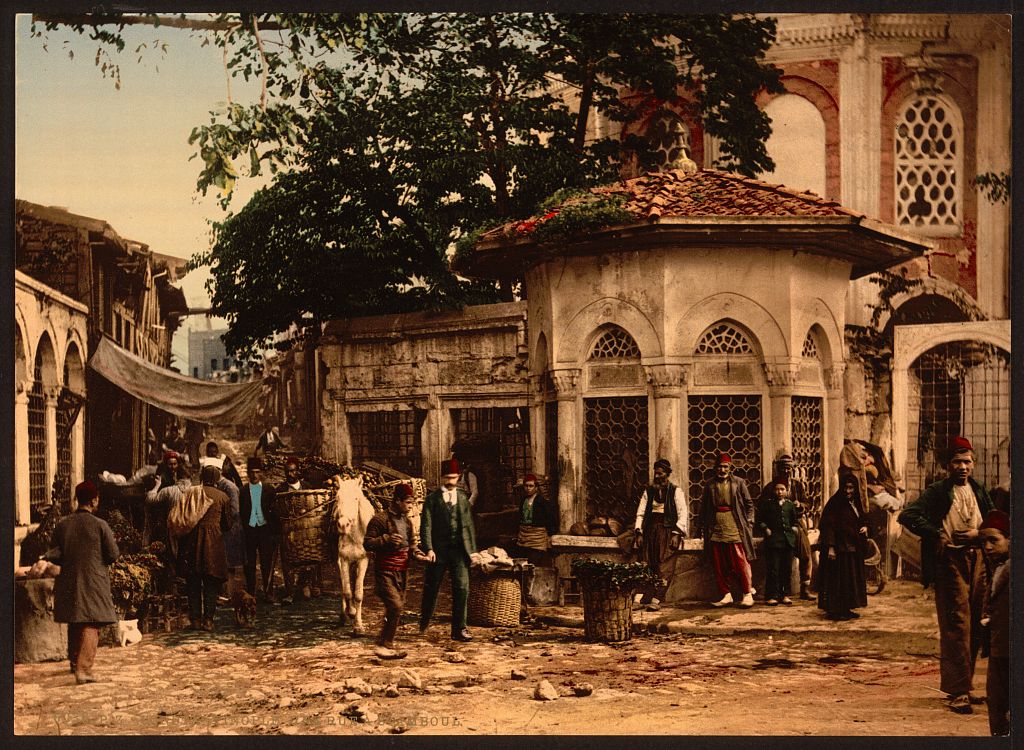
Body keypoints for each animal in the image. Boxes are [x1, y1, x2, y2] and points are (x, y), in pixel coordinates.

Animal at [327, 475, 376, 631]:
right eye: (337, 498)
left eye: (355, 498)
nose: (343, 525)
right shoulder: (343, 560)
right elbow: (347, 591)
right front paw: (351, 612)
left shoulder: (363, 560)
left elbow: (358, 594)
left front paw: (358, 625)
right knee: (344, 586)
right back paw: (343, 616)